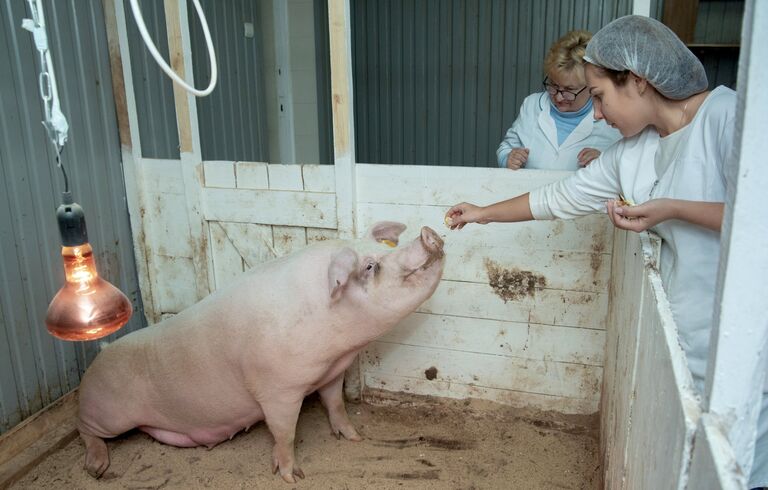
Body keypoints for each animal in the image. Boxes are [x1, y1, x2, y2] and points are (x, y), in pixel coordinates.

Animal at [76, 222, 444, 482]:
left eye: (381, 247)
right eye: (370, 266)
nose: (429, 233)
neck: (336, 345)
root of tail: (100, 354)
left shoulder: (331, 373)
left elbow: (336, 404)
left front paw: (354, 438)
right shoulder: (277, 390)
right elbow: (285, 432)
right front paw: (293, 477)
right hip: (108, 413)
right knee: (84, 428)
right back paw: (96, 468)